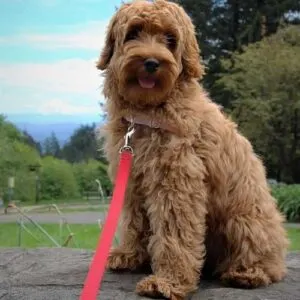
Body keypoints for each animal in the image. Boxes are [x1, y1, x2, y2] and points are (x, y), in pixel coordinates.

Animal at [97, 1, 290, 298]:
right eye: (134, 33)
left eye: (170, 39)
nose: (151, 63)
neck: (148, 113)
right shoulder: (132, 180)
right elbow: (134, 220)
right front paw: (129, 254)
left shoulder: (177, 180)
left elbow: (174, 233)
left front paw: (167, 282)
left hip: (244, 222)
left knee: (265, 261)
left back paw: (246, 274)